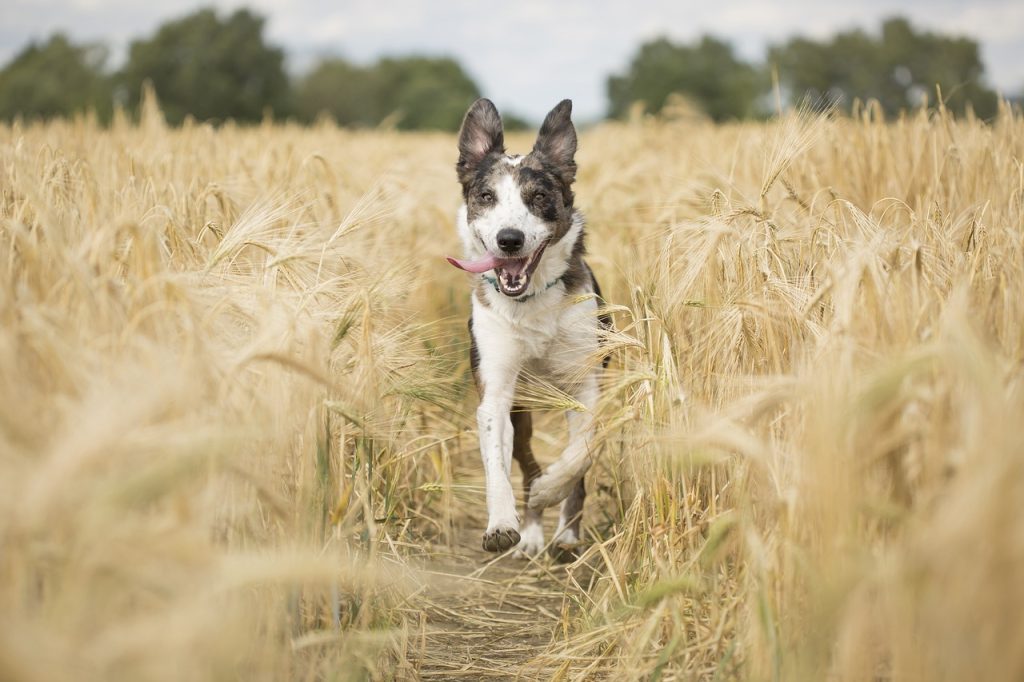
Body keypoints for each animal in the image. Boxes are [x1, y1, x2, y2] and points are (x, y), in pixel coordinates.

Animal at [446, 99, 606, 557]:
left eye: (539, 197)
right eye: (486, 197)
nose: (509, 239)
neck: (531, 302)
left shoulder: (587, 386)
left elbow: (580, 455)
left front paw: (552, 492)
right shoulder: (497, 392)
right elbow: (496, 463)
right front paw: (502, 523)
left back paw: (564, 533)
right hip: (523, 410)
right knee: (525, 460)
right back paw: (532, 533)